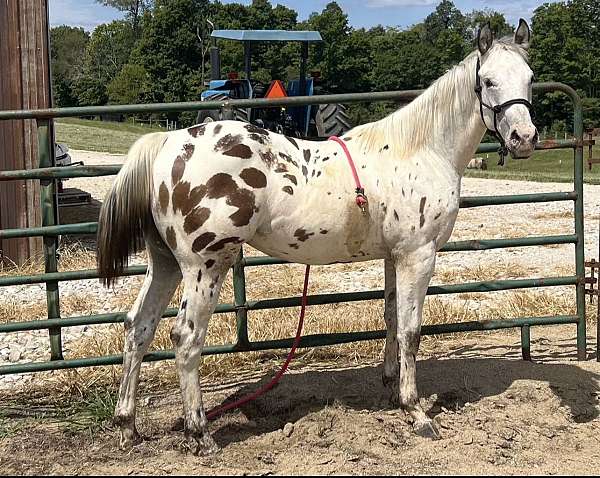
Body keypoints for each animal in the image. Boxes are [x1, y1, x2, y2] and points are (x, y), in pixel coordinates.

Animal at [98, 21, 540, 456]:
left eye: (530, 78)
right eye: (487, 81)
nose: (524, 138)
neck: (420, 150)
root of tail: (167, 144)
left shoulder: (394, 256)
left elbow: (391, 319)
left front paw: (391, 389)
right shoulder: (419, 254)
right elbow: (411, 331)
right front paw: (417, 412)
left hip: (166, 264)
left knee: (139, 328)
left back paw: (127, 427)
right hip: (205, 265)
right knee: (186, 337)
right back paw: (200, 434)